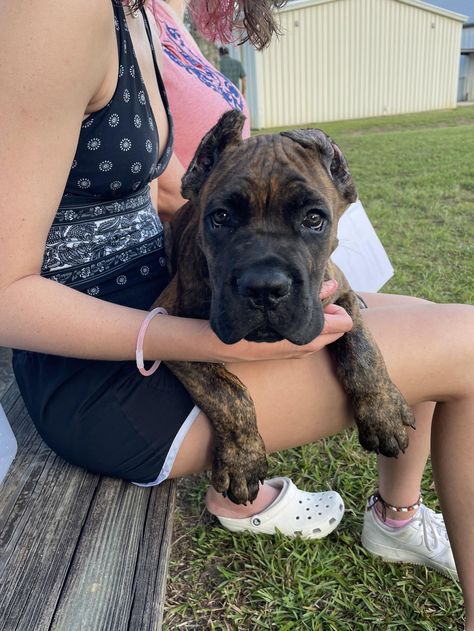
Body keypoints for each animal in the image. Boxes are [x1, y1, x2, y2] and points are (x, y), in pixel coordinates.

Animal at [156, 108, 414, 504]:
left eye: (314, 219)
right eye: (221, 217)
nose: (265, 288)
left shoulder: (339, 295)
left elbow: (363, 350)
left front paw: (383, 411)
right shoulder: (169, 322)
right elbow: (225, 391)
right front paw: (242, 458)